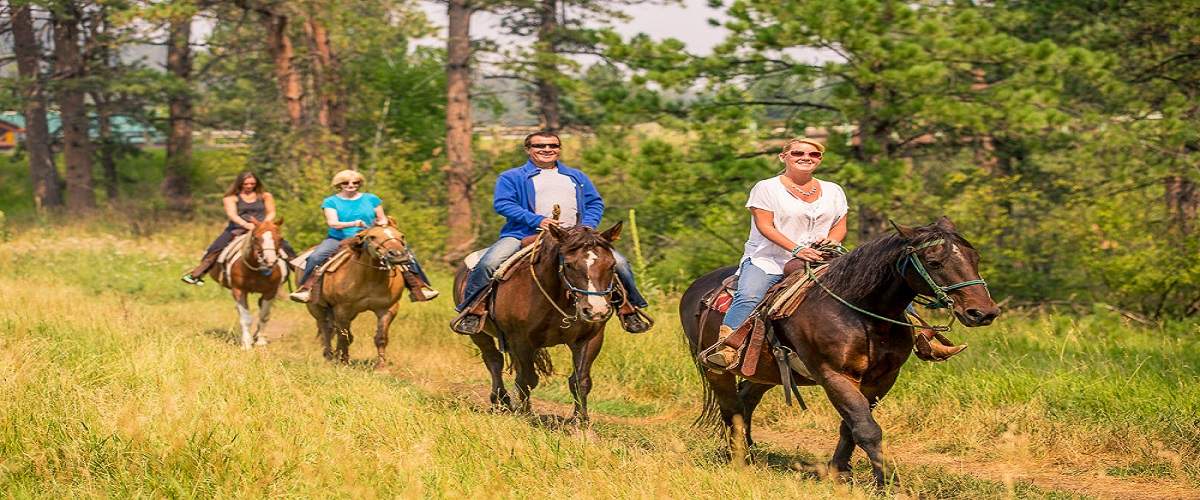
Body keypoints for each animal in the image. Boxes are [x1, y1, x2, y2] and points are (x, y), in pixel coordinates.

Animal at [208, 215, 288, 347]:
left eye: (280, 238)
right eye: (256, 237)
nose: (270, 261)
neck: (256, 271)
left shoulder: (270, 292)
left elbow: (263, 315)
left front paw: (261, 341)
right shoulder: (239, 290)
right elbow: (245, 318)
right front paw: (246, 343)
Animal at [304, 220, 412, 364]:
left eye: (402, 236)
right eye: (372, 237)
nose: (398, 255)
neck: (370, 279)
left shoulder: (388, 309)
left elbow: (381, 338)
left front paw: (381, 365)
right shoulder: (342, 310)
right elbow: (344, 337)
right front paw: (343, 362)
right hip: (316, 308)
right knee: (326, 329)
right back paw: (329, 356)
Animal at [451, 223, 628, 422]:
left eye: (611, 264)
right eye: (569, 264)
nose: (596, 310)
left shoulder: (589, 339)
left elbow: (580, 380)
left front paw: (581, 420)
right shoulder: (521, 340)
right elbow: (528, 379)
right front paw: (525, 414)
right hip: (480, 334)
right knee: (494, 360)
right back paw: (501, 401)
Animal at [681, 215, 998, 484]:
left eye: (975, 258)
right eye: (933, 262)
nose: (983, 312)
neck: (861, 312)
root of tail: (695, 288)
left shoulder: (881, 379)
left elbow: (852, 425)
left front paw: (840, 472)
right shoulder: (833, 375)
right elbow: (867, 429)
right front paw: (886, 483)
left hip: (766, 370)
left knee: (746, 400)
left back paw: (747, 453)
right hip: (716, 370)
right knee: (731, 408)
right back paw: (739, 460)